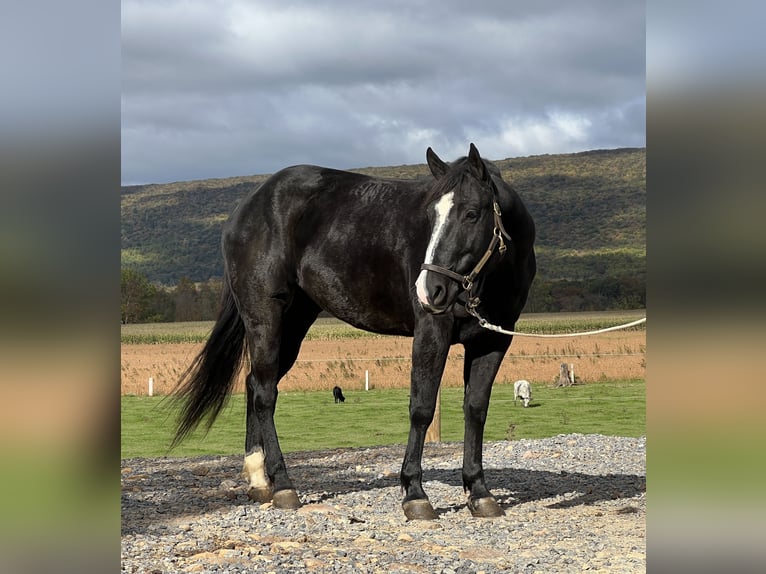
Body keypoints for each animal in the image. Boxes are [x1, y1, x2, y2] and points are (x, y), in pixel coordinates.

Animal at [174, 143, 536, 520]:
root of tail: (247, 207)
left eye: (471, 213)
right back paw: (284, 486)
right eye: (430, 216)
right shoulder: (431, 332)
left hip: (294, 324)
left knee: (254, 383)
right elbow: (421, 408)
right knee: (264, 394)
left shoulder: (493, 340)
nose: (429, 290)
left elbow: (476, 409)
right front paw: (414, 494)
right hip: (265, 318)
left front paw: (479, 492)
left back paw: (260, 480)